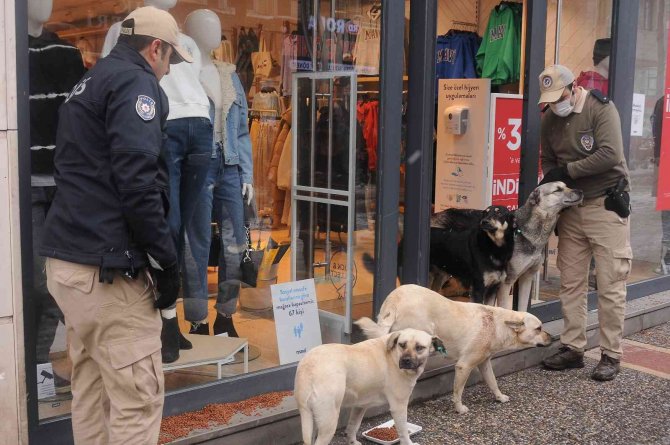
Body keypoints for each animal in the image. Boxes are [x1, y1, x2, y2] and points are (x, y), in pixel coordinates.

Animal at [296, 326, 444, 444]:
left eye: (419, 348)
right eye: (402, 345)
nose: (405, 361)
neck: (393, 355)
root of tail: (308, 367)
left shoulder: (360, 406)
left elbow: (353, 426)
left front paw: (352, 441)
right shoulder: (399, 407)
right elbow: (403, 432)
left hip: (312, 418)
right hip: (329, 422)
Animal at [356, 284, 552, 412]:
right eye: (539, 328)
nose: (551, 338)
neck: (497, 324)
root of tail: (395, 300)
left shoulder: (484, 363)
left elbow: (493, 382)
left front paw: (499, 397)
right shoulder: (464, 366)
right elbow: (458, 391)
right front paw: (459, 408)